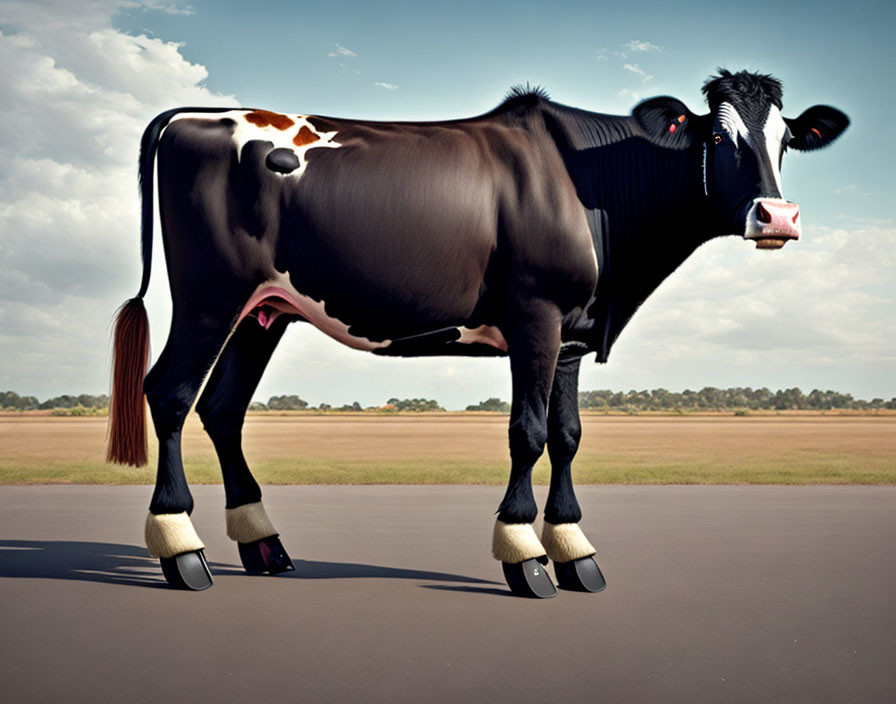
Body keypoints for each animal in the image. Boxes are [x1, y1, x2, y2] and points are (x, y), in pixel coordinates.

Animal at [105, 70, 848, 592]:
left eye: (786, 140)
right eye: (717, 138)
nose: (778, 217)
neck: (589, 185)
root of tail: (197, 114)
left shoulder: (572, 333)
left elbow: (568, 436)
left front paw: (575, 552)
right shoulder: (536, 315)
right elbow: (528, 433)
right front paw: (524, 555)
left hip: (266, 310)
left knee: (222, 408)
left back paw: (263, 545)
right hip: (209, 296)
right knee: (170, 393)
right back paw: (183, 550)